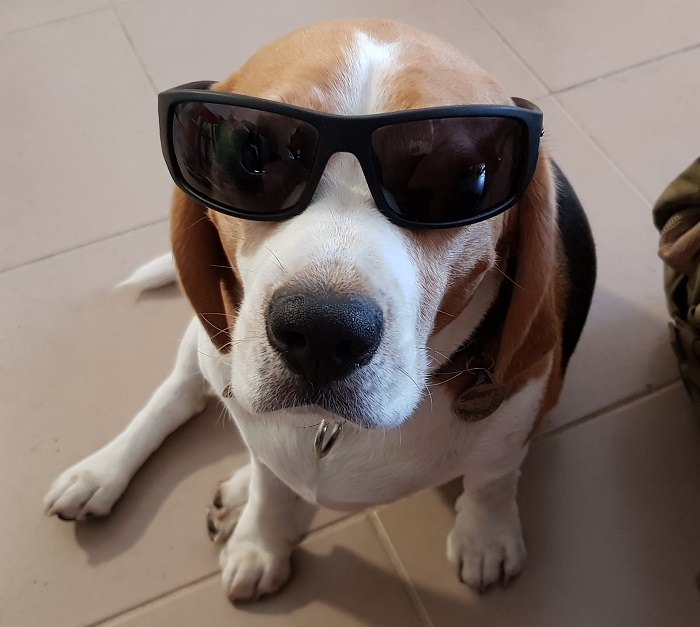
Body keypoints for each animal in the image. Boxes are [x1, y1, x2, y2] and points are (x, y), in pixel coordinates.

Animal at [42, 18, 596, 600]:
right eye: (250, 155)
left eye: (465, 178)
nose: (323, 331)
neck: (328, 429)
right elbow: (269, 485)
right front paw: (260, 541)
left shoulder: (516, 424)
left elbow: (491, 482)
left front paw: (485, 538)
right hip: (205, 345)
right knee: (177, 395)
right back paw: (100, 473)